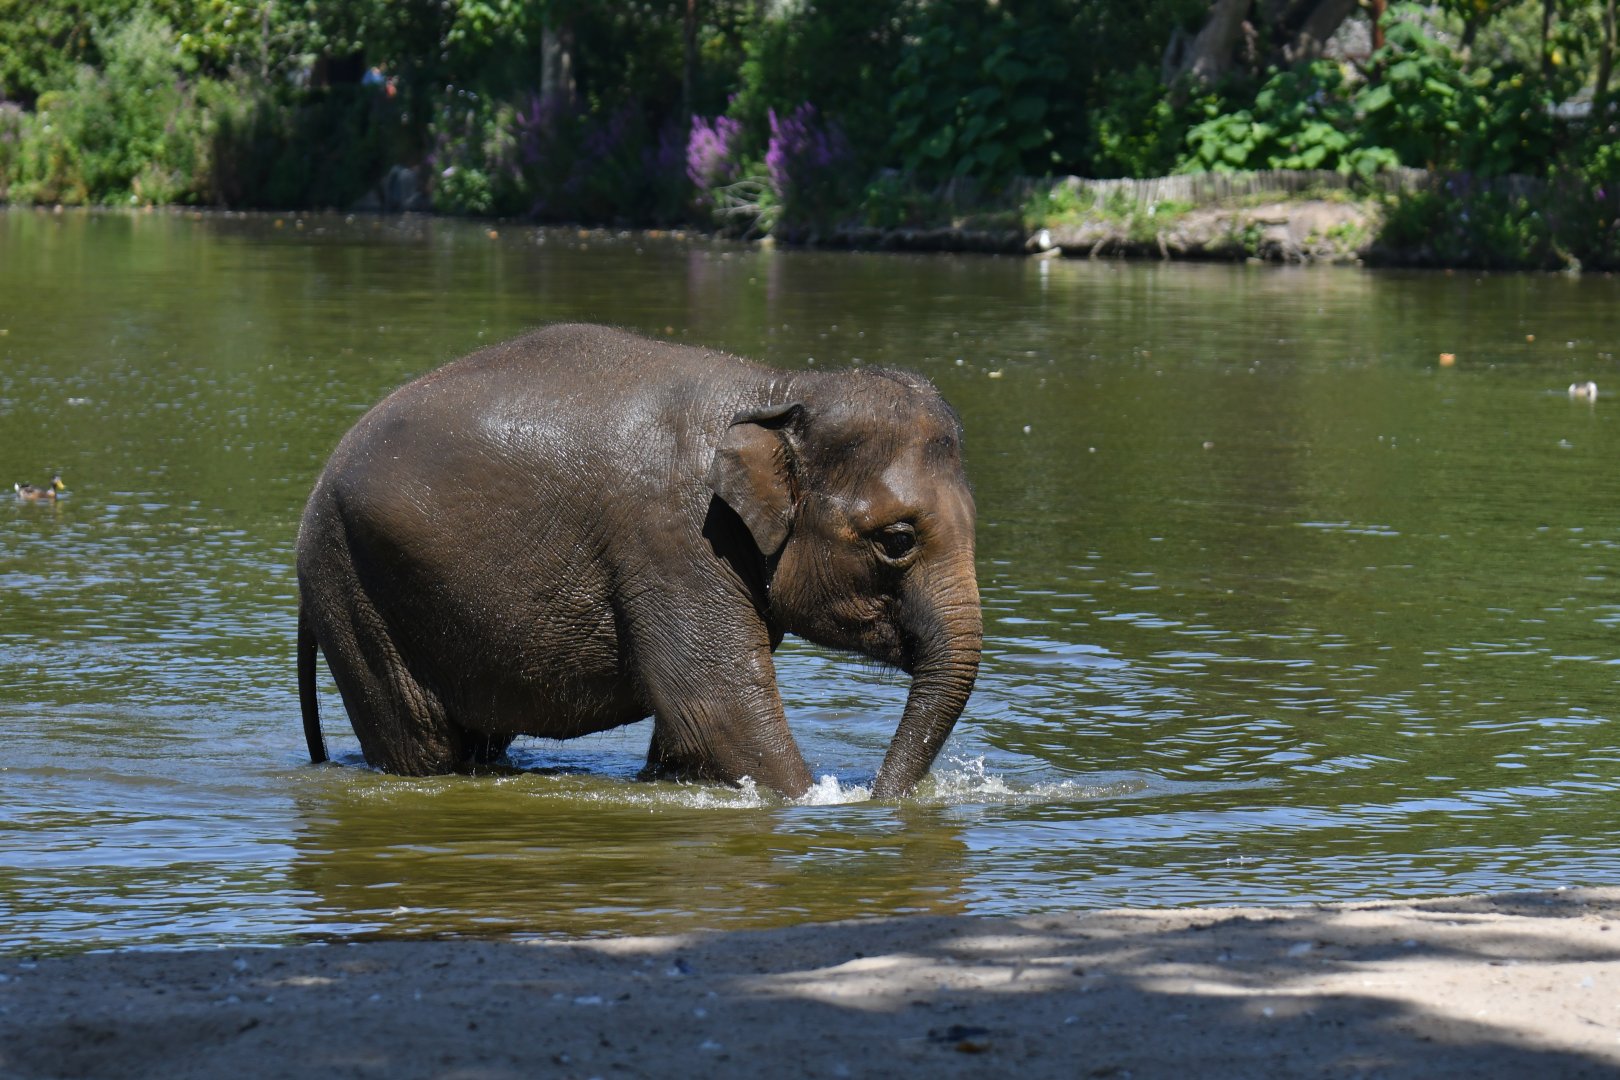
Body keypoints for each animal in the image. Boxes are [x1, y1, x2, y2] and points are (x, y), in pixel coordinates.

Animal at [295, 323, 981, 798]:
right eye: (898, 540)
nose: (879, 797)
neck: (778, 387)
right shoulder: (675, 542)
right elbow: (717, 714)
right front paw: (813, 799)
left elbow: (686, 735)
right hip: (354, 591)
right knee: (423, 746)